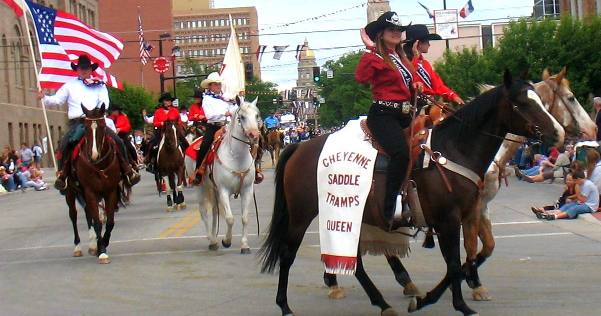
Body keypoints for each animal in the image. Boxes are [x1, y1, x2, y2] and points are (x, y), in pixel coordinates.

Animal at [66, 104, 122, 264]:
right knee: (73, 215)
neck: (99, 165)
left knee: (88, 214)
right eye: (86, 128)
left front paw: (102, 243)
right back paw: (78, 247)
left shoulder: (111, 191)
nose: (94, 155)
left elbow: (109, 222)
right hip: (71, 192)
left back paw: (92, 245)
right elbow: (97, 222)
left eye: (103, 126)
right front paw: (102, 250)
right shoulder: (90, 191)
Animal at [198, 97, 262, 253]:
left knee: (215, 211)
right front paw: (226, 241)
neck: (236, 157)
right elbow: (230, 218)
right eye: (242, 117)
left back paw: (214, 240)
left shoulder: (247, 190)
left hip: (213, 190)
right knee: (204, 212)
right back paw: (211, 239)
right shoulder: (224, 190)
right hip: (201, 188)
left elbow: (244, 218)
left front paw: (244, 245)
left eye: (256, 115)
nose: (254, 135)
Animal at [258, 71, 564, 316]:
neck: (455, 149)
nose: (559, 133)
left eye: (541, 100)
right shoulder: (448, 219)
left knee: (355, 263)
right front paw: (461, 305)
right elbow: (455, 263)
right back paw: (285, 306)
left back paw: (382, 303)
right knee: (287, 253)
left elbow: (465, 259)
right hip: (302, 214)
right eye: (523, 103)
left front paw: (429, 299)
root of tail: (301, 146)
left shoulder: (466, 214)